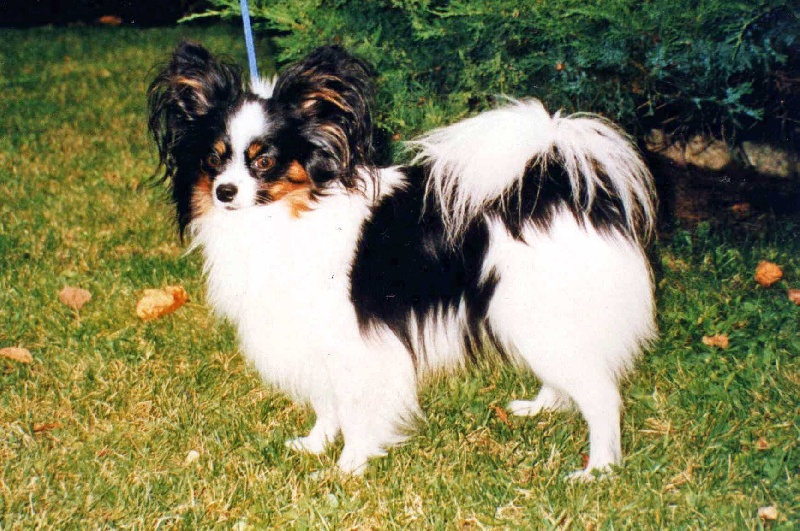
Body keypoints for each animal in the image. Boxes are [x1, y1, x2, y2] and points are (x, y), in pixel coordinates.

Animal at [148, 41, 657, 478]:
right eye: (213, 160)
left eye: (264, 161)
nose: (224, 192)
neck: (286, 217)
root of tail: (552, 184)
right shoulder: (313, 339)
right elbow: (326, 402)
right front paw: (316, 445)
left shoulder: (352, 343)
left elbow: (354, 409)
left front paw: (347, 467)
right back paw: (542, 406)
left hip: (540, 316)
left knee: (602, 396)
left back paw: (598, 469)